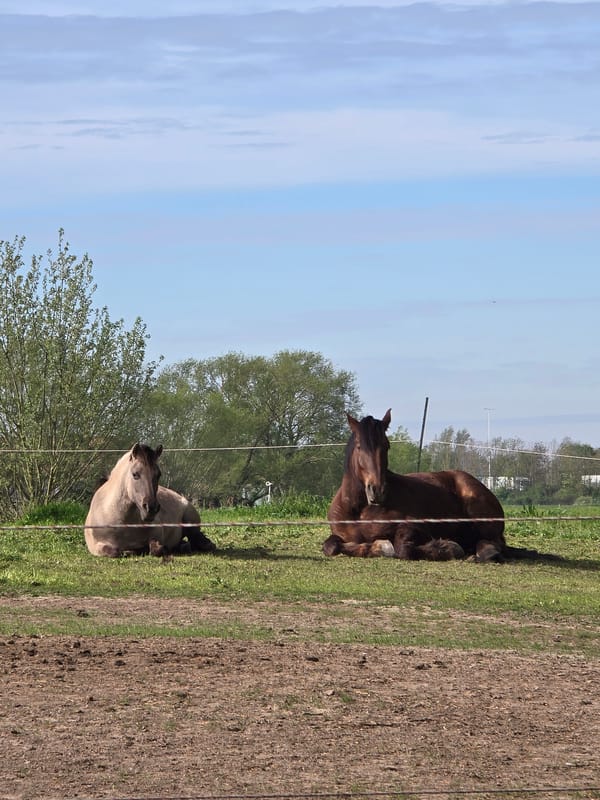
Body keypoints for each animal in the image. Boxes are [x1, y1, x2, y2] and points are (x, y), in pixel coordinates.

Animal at [84, 443, 216, 558]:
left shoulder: (157, 534)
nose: (151, 508)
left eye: (158, 475)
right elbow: (114, 552)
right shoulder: (96, 546)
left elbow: (156, 549)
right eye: (135, 474)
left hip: (190, 521)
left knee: (195, 538)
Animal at [323, 410, 535, 562]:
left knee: (492, 546)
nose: (377, 490)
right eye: (360, 446)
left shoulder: (415, 527)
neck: (359, 510)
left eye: (386, 446)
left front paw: (448, 548)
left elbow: (403, 549)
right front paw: (374, 547)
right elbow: (330, 546)